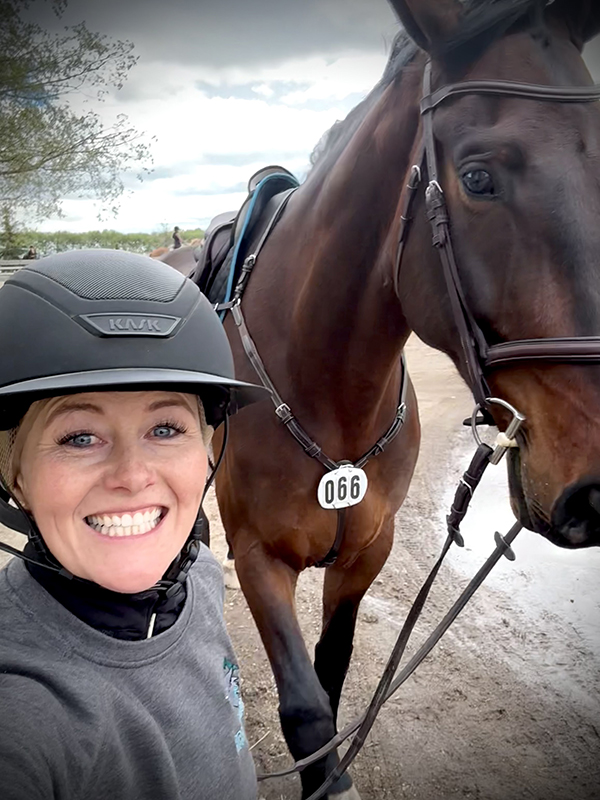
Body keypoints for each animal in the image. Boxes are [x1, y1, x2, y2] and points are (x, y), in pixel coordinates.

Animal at [204, 2, 600, 797]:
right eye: (477, 176)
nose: (596, 486)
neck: (325, 388)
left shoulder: (366, 553)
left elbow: (330, 679)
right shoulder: (259, 557)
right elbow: (306, 712)